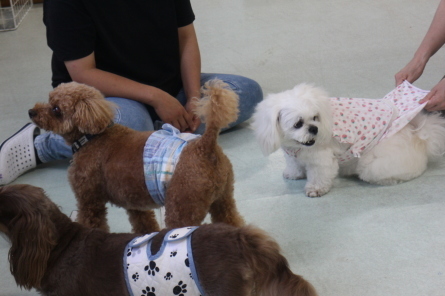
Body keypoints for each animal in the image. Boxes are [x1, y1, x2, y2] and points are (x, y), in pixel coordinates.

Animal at [28, 80, 243, 232]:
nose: (31, 112)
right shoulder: (135, 204)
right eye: (49, 99)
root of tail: (205, 145)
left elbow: (92, 224)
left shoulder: (90, 201)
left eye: (56, 109)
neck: (91, 137)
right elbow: (144, 225)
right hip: (223, 200)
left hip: (183, 206)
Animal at [251, 81, 444, 197]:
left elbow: (319, 176)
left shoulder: (321, 160)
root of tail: (419, 135)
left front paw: (315, 189)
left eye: (315, 117)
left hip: (373, 166)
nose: (314, 129)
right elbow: (294, 165)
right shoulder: (292, 155)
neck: (298, 146)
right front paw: (293, 174)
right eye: (298, 124)